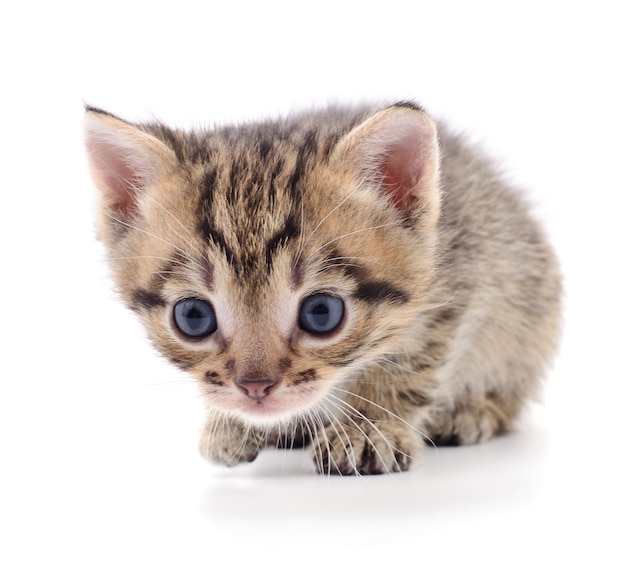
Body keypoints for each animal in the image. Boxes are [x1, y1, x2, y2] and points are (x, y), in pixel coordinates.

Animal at [84, 102, 560, 476]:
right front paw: (230, 423)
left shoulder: (460, 279)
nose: (255, 387)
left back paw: (473, 411)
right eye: (193, 318)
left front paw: (369, 426)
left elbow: (408, 364)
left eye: (322, 313)